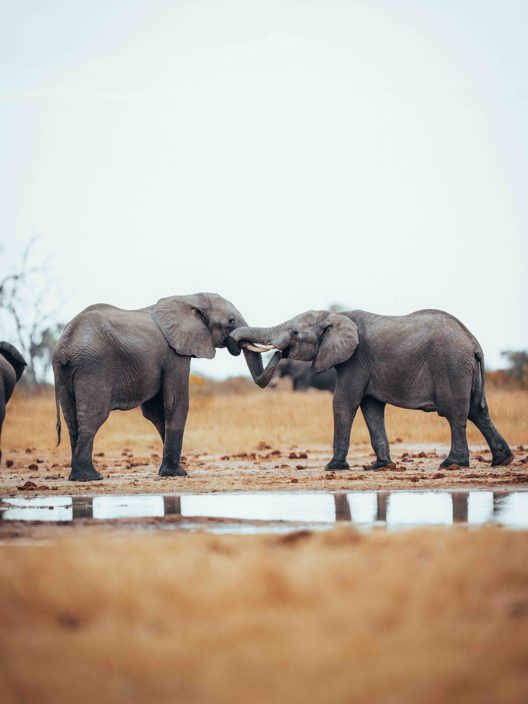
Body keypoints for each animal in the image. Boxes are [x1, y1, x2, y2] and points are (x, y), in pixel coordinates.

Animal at [53, 293, 277, 481]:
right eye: (231, 321)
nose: (279, 351)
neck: (191, 299)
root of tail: (64, 346)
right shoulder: (174, 354)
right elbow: (176, 404)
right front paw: (177, 474)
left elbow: (157, 413)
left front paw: (172, 470)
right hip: (94, 367)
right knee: (93, 416)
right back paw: (90, 477)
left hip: (64, 373)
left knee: (72, 419)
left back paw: (78, 475)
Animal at [232, 309, 513, 470]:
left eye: (295, 332)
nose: (280, 352)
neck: (334, 316)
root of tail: (473, 343)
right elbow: (371, 408)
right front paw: (381, 466)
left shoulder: (356, 359)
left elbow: (343, 403)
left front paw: (333, 467)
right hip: (466, 370)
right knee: (478, 410)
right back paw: (502, 460)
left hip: (451, 365)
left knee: (455, 413)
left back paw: (452, 464)